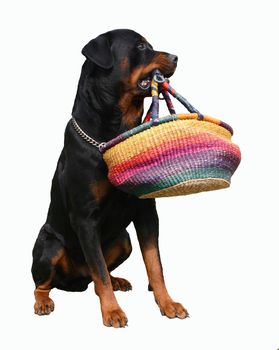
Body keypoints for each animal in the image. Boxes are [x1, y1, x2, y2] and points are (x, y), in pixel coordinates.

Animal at [32, 28, 190, 326]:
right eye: (140, 46)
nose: (176, 56)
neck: (115, 131)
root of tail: (74, 281)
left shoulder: (146, 211)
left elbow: (154, 263)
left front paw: (167, 303)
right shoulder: (84, 218)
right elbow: (100, 270)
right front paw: (113, 312)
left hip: (123, 240)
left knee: (98, 273)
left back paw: (117, 281)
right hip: (49, 244)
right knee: (47, 282)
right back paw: (44, 302)